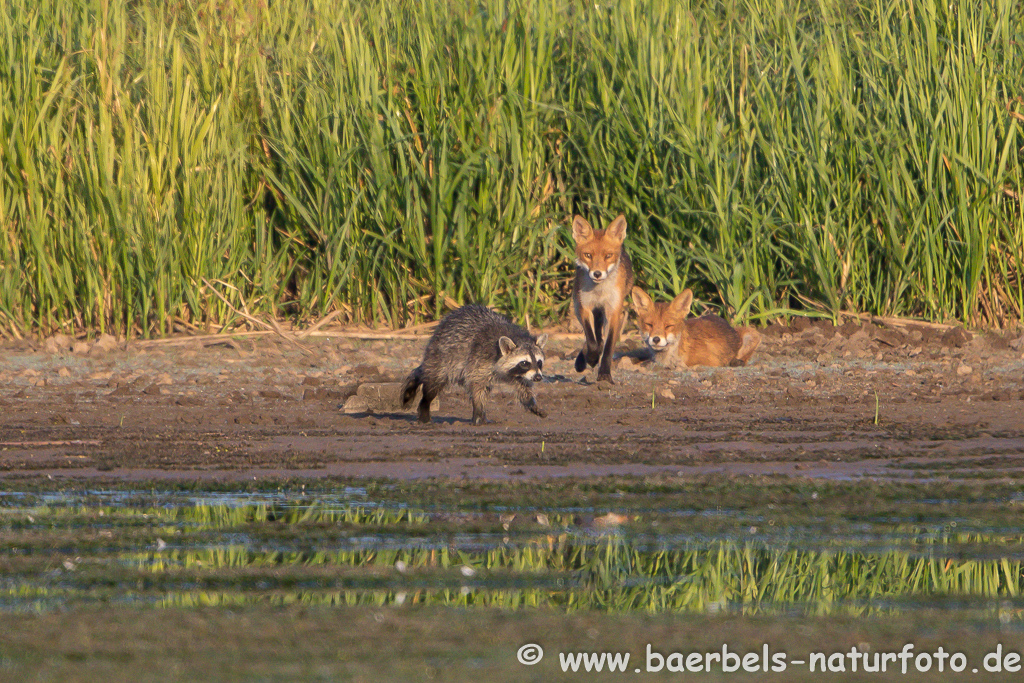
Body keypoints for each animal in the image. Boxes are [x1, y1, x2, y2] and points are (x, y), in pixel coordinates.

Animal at [399, 305, 548, 423]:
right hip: (442, 354)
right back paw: (425, 405)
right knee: (434, 381)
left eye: (539, 362)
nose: (538, 377)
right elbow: (477, 386)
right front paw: (479, 410)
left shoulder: (519, 374)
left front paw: (531, 403)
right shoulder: (479, 358)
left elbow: (523, 387)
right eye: (524, 363)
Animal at [569, 215, 630, 382]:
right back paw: (582, 361)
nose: (597, 273)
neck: (599, 293)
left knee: (601, 340)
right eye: (588, 255)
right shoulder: (584, 308)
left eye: (608, 256)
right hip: (578, 307)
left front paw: (604, 374)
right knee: (594, 340)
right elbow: (591, 341)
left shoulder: (614, 312)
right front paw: (591, 358)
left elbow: (608, 347)